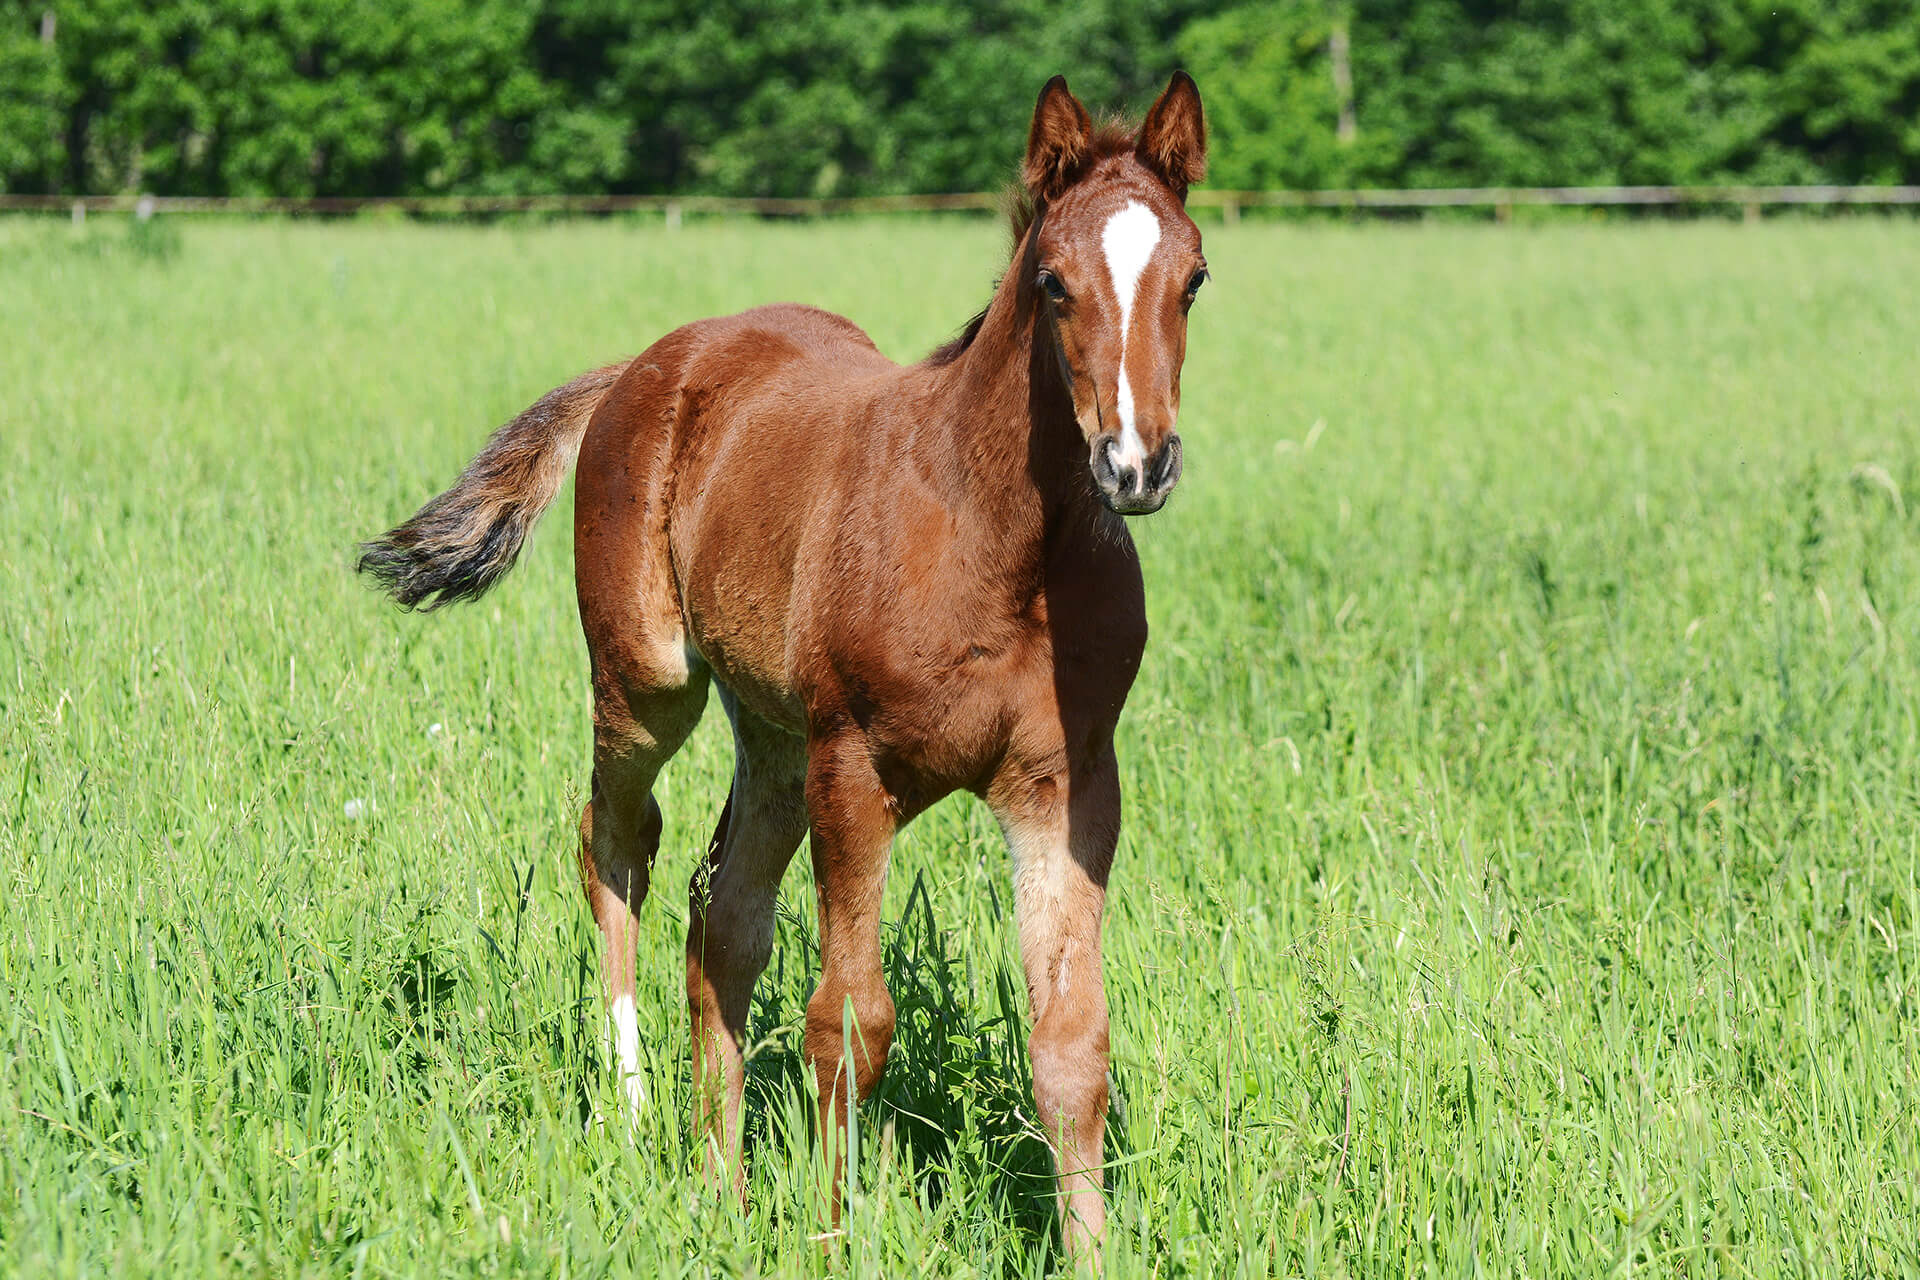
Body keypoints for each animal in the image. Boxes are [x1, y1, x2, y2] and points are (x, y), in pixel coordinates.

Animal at [357, 72, 1208, 1260]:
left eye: (1193, 279)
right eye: (1054, 283)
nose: (1136, 463)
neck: (999, 547)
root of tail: (647, 363)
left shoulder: (1065, 786)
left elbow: (1073, 1041)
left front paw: (1088, 1250)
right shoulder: (854, 768)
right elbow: (849, 1020)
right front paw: (833, 1235)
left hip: (772, 738)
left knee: (721, 918)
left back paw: (722, 1181)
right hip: (652, 686)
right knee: (615, 842)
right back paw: (634, 1113)